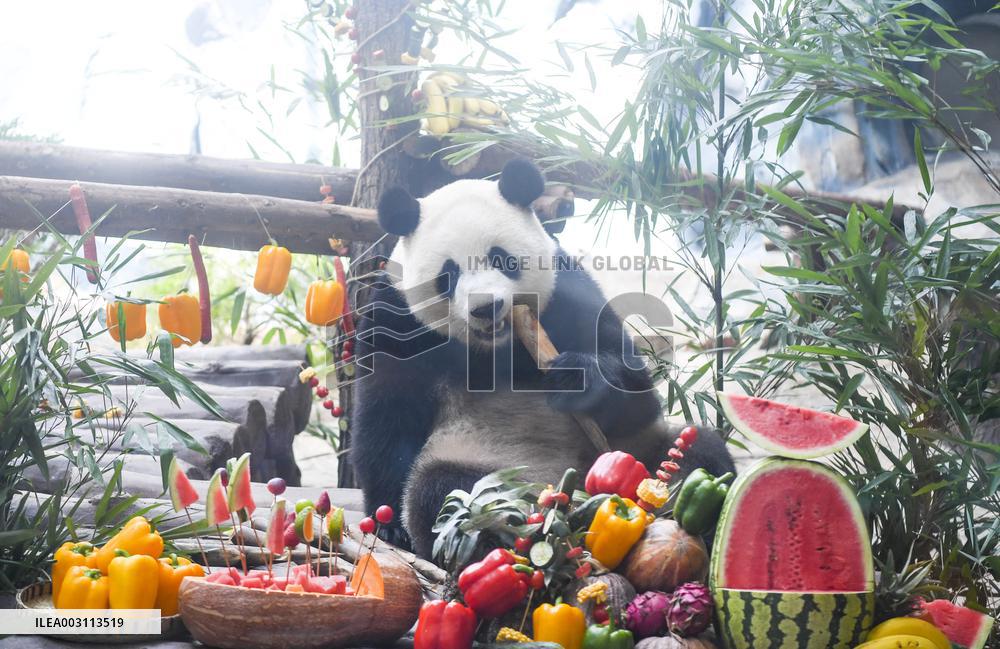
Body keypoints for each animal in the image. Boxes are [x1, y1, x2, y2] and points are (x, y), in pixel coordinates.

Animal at [350, 158, 735, 557]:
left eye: (502, 259)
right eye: (448, 274)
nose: (486, 308)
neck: (496, 348)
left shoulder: (568, 290)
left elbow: (636, 393)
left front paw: (577, 378)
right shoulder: (396, 319)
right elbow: (387, 417)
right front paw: (391, 526)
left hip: (638, 451)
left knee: (698, 458)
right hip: (486, 459)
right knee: (444, 491)